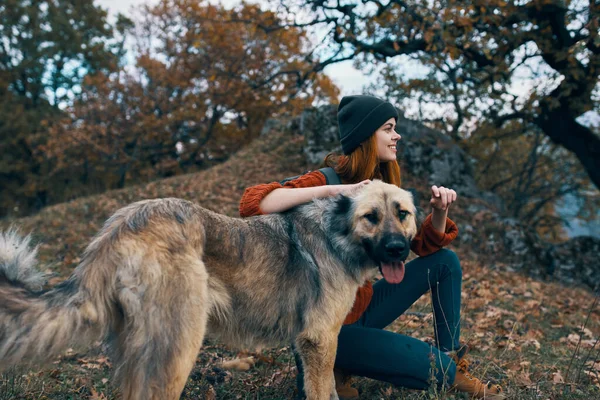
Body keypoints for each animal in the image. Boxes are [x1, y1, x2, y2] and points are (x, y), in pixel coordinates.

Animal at [0, 180, 418, 400]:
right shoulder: (319, 339)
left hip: (140, 354)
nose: (398, 249)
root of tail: (121, 225)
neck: (336, 236)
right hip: (179, 348)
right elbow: (321, 390)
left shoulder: (318, 342)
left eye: (403, 214)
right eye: (370, 217)